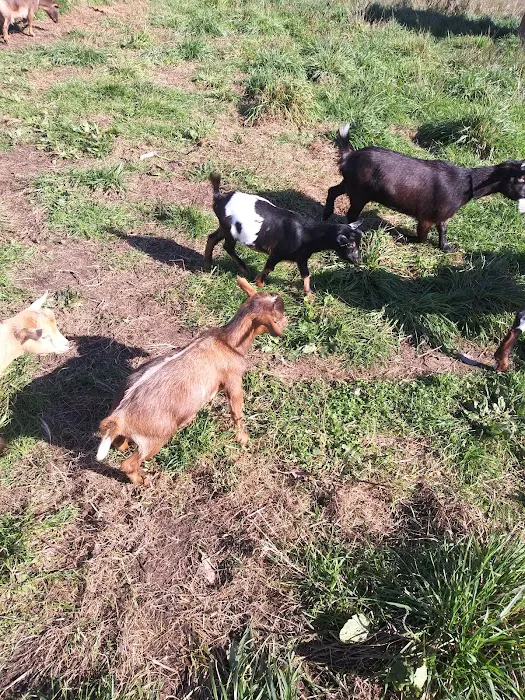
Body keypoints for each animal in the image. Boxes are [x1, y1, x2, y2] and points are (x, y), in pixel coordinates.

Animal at [96, 277, 287, 486]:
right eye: (278, 315)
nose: (287, 323)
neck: (227, 341)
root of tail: (120, 416)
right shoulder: (234, 380)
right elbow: (237, 411)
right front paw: (243, 438)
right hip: (156, 438)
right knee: (128, 464)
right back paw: (142, 480)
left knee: (119, 443)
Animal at [204, 174, 363, 296]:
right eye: (349, 245)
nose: (357, 260)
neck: (306, 233)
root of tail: (220, 198)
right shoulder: (277, 252)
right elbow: (269, 267)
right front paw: (260, 284)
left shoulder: (301, 258)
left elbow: (306, 275)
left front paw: (310, 297)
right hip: (230, 230)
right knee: (227, 246)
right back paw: (244, 269)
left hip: (223, 227)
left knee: (212, 238)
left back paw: (207, 265)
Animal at [323, 124, 525, 252]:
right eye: (522, 178)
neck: (464, 183)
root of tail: (350, 156)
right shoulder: (426, 217)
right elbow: (422, 237)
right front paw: (404, 237)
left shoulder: (442, 216)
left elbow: (443, 231)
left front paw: (447, 248)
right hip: (359, 193)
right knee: (351, 214)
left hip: (350, 185)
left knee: (332, 190)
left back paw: (326, 214)